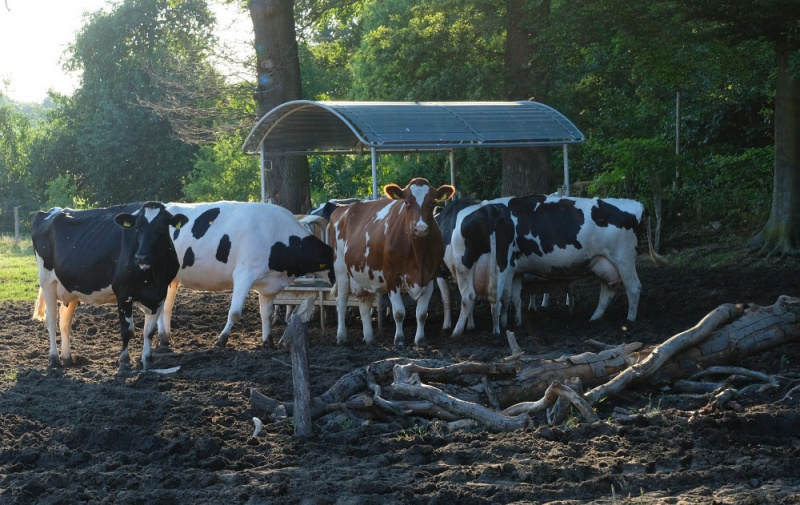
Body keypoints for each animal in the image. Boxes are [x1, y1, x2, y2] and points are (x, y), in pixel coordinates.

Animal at [31, 202, 188, 371]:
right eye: (137, 228)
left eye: (161, 228)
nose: (141, 257)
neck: (153, 276)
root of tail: (53, 211)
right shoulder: (123, 292)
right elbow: (127, 330)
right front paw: (124, 362)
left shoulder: (160, 294)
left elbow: (149, 331)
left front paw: (147, 361)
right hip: (47, 281)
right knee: (51, 319)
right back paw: (54, 359)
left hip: (70, 286)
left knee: (64, 321)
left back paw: (67, 358)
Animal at [159, 201, 334, 347]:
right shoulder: (243, 274)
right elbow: (235, 312)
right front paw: (222, 339)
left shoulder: (268, 284)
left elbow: (266, 313)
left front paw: (268, 340)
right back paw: (162, 339)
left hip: (172, 280)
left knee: (167, 307)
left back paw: (167, 338)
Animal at [329, 178, 455, 348]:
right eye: (407, 202)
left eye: (432, 202)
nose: (421, 229)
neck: (418, 254)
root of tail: (344, 208)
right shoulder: (391, 277)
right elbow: (399, 312)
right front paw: (399, 340)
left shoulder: (430, 278)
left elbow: (422, 314)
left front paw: (420, 340)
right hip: (341, 269)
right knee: (341, 302)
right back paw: (341, 337)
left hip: (365, 273)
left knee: (364, 303)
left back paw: (369, 338)